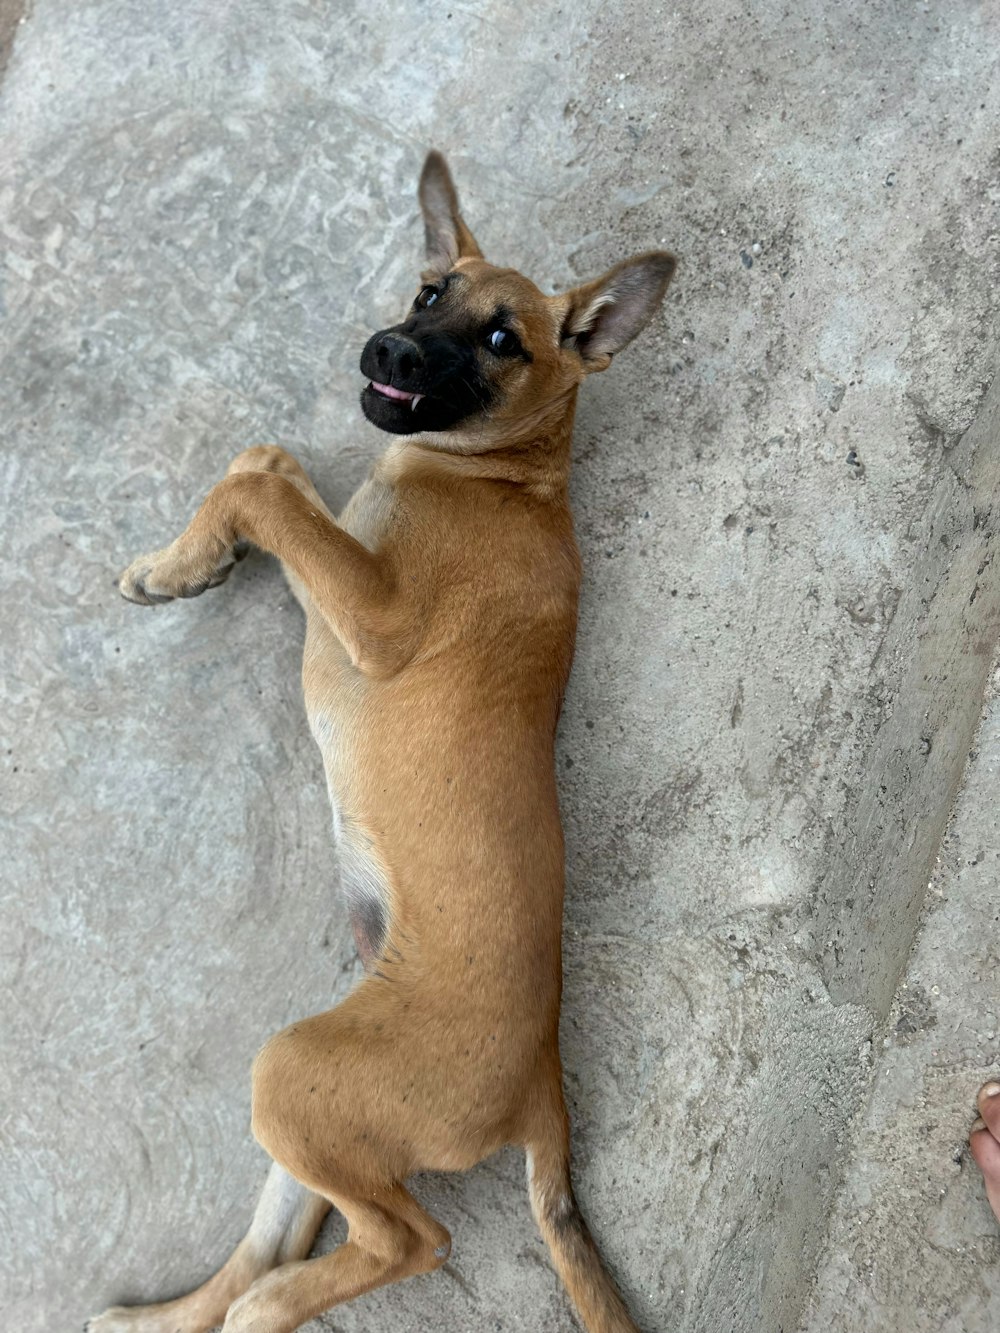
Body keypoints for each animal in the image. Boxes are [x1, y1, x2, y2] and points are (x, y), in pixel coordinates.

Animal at [90, 151, 677, 1327]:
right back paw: (170, 1316)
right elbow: (266, 463)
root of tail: (545, 1087)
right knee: (280, 1240)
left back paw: (269, 1311)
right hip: (317, 1096)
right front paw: (187, 566)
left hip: (297, 1074)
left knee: (413, 1239)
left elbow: (258, 481)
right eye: (427, 291)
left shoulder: (378, 618)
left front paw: (183, 562)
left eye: (503, 339)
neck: (500, 477)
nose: (388, 351)